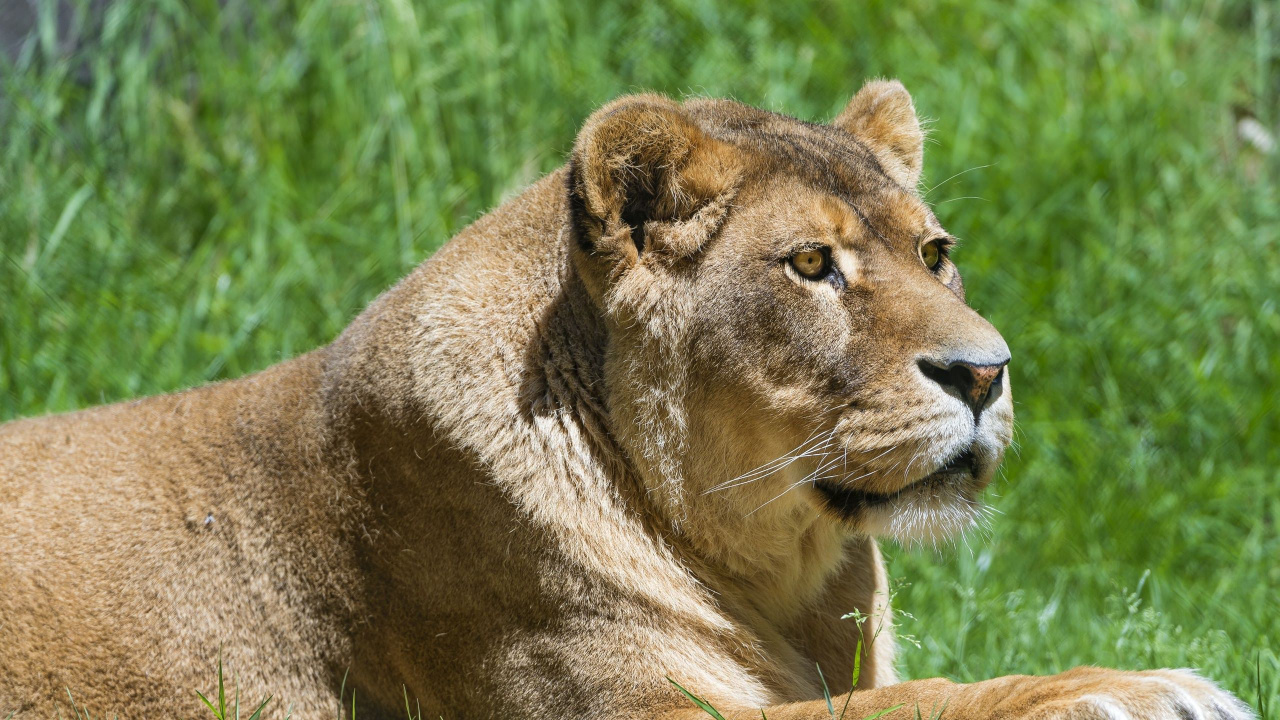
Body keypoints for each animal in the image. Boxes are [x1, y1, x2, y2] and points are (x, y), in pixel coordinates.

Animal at [0, 81, 1254, 720]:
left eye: (933, 253)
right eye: (811, 266)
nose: (985, 372)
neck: (785, 575)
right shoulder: (619, 715)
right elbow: (896, 711)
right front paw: (1136, 689)